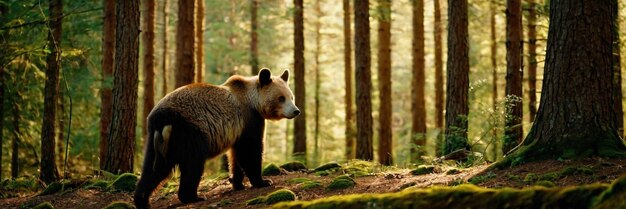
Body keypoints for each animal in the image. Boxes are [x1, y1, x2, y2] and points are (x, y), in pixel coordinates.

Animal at [133, 68, 298, 208]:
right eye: (281, 98)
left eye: (291, 97)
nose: (296, 111)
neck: (253, 101)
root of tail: (162, 119)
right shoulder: (249, 119)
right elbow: (250, 151)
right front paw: (263, 181)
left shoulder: (237, 128)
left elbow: (235, 155)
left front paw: (238, 183)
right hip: (190, 131)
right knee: (193, 164)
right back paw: (193, 197)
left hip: (158, 140)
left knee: (155, 167)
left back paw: (142, 200)